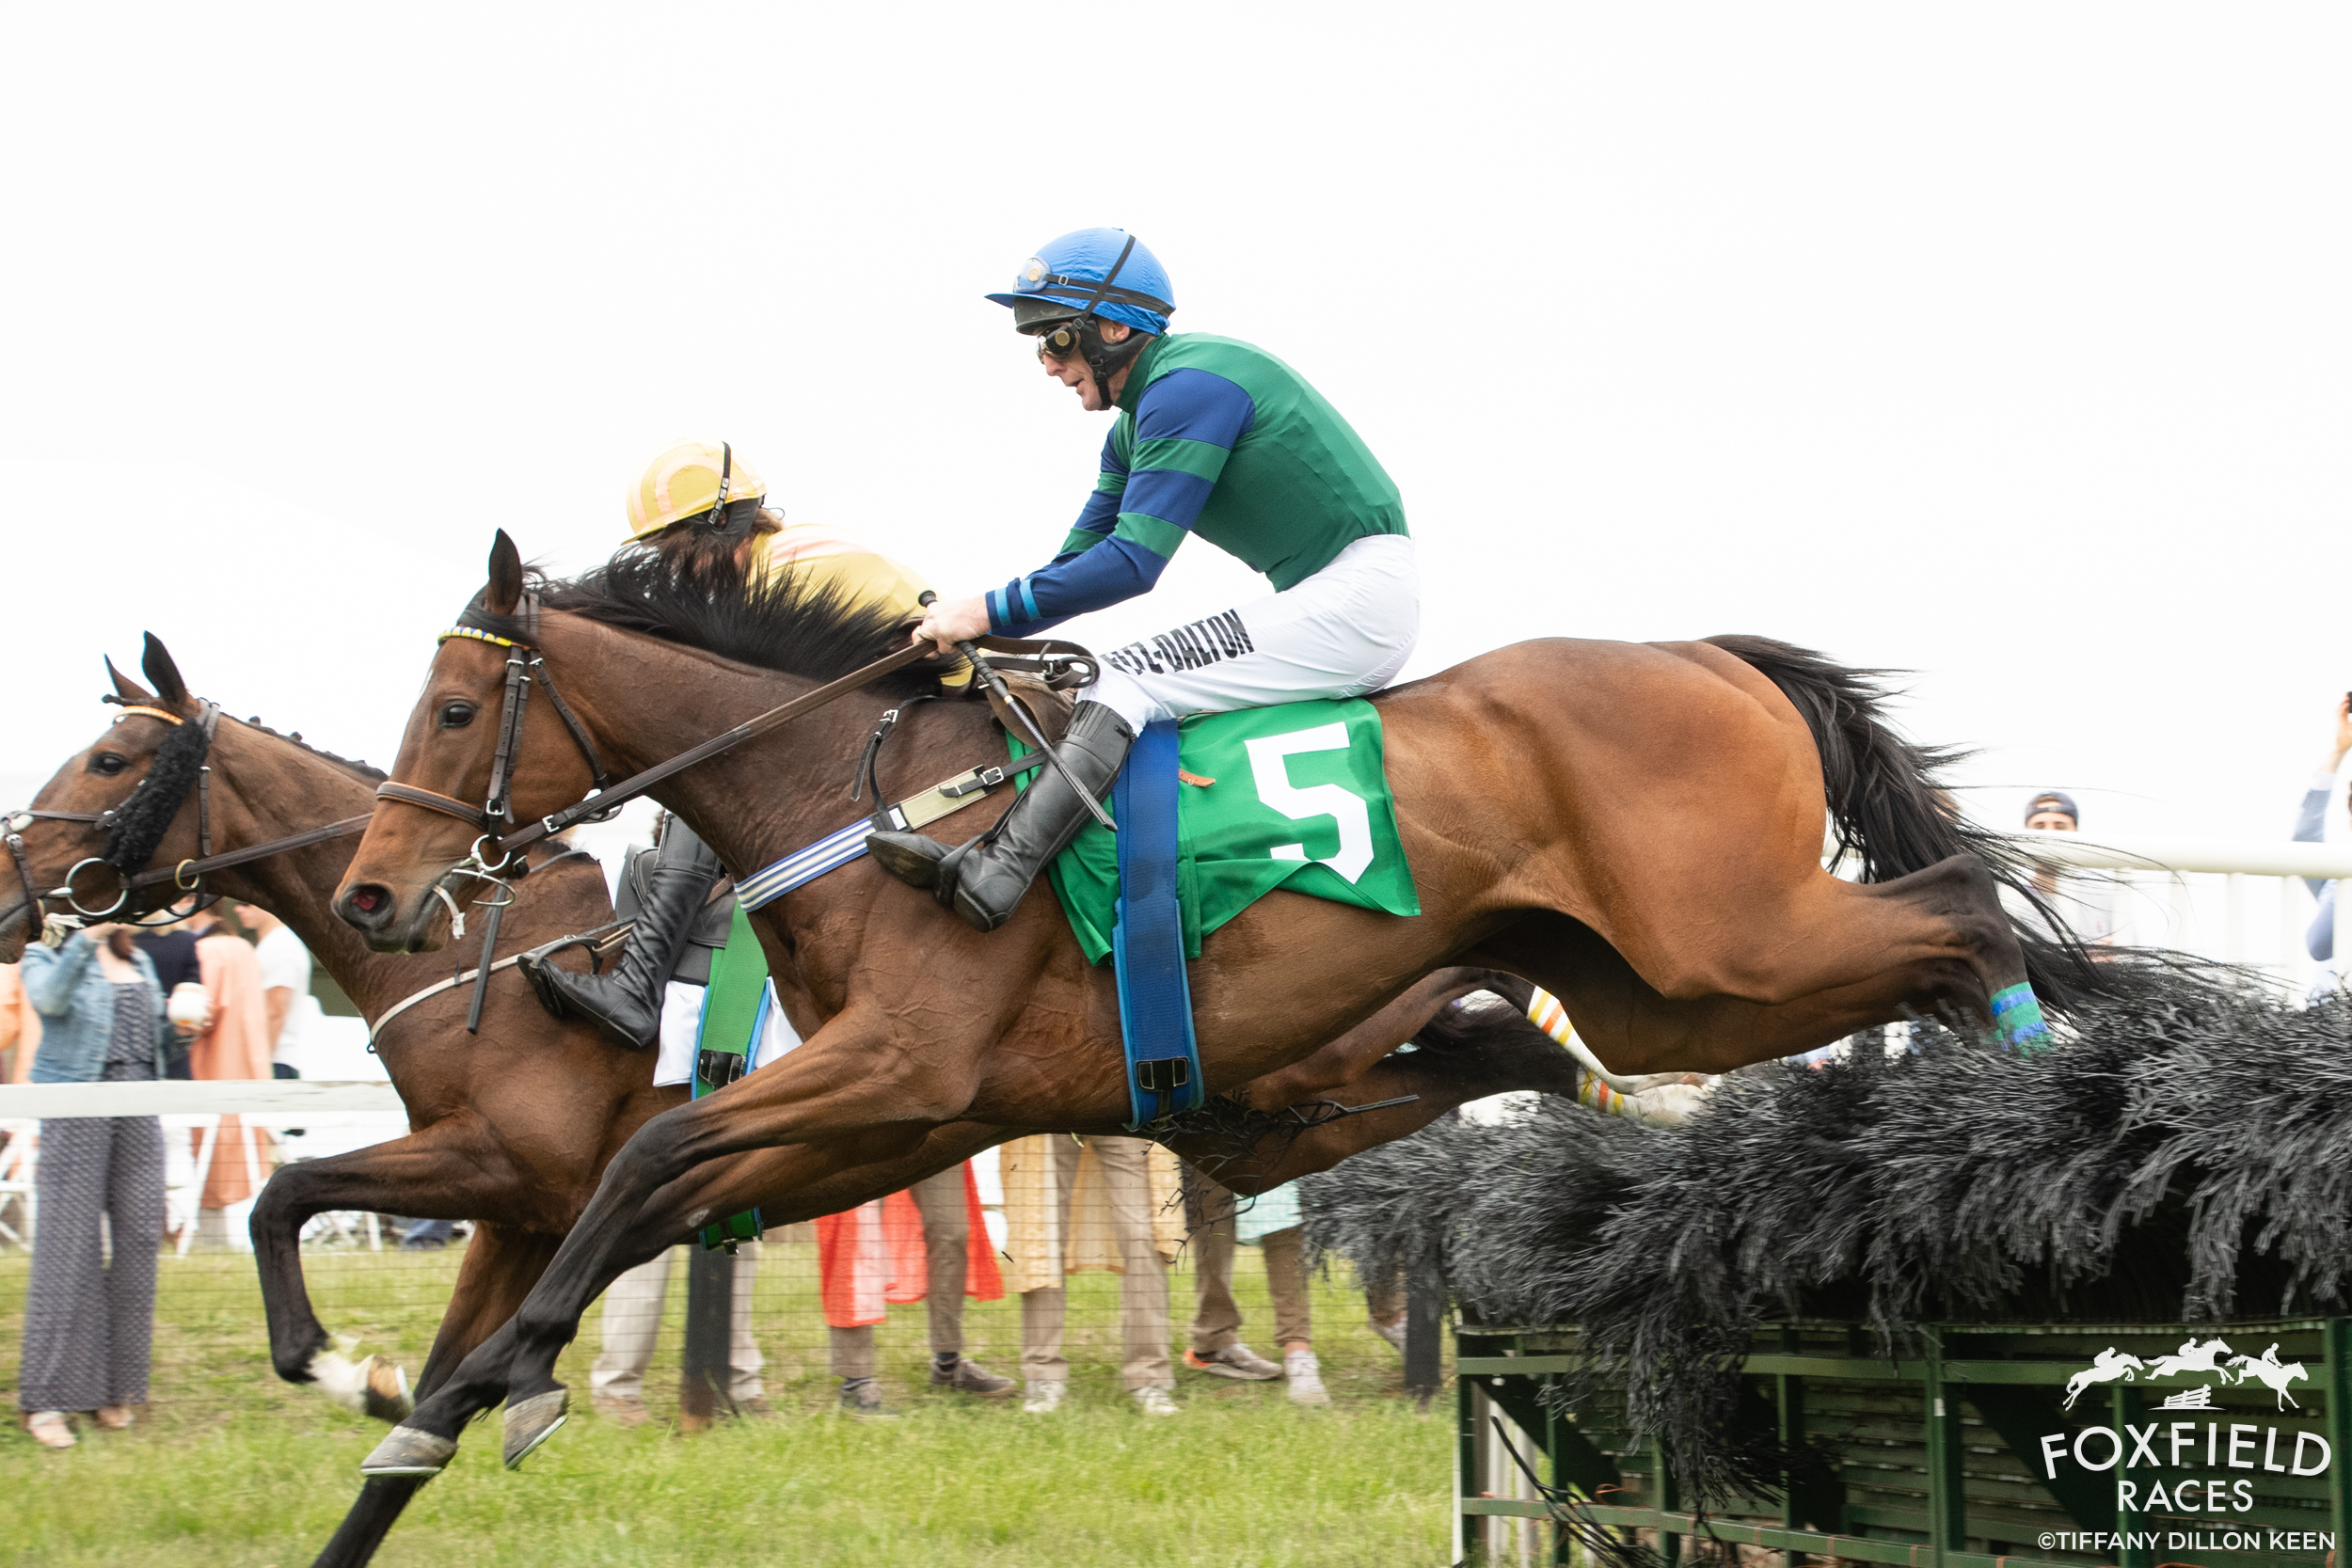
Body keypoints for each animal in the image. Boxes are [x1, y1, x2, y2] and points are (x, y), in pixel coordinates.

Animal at [4, 629, 1581, 1560]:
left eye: (115, 754)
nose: (17, 879)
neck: (485, 950)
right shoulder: (519, 1221)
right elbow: (418, 1410)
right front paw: (401, 1392)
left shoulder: (506, 1171)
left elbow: (288, 1189)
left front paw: (342, 1363)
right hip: (1266, 1096)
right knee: (1481, 1058)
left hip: (1290, 1063)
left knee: (1509, 1055)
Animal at [326, 531, 2098, 1495]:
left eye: (459, 706)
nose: (370, 894)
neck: (863, 786)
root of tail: (1711, 656)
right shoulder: (900, 1108)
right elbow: (657, 1178)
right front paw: (458, 1390)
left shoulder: (898, 1062)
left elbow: (646, 1157)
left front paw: (510, 1367)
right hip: (1660, 992)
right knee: (1678, 1015)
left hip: (1733, 942)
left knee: (1961, 908)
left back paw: (2020, 1122)